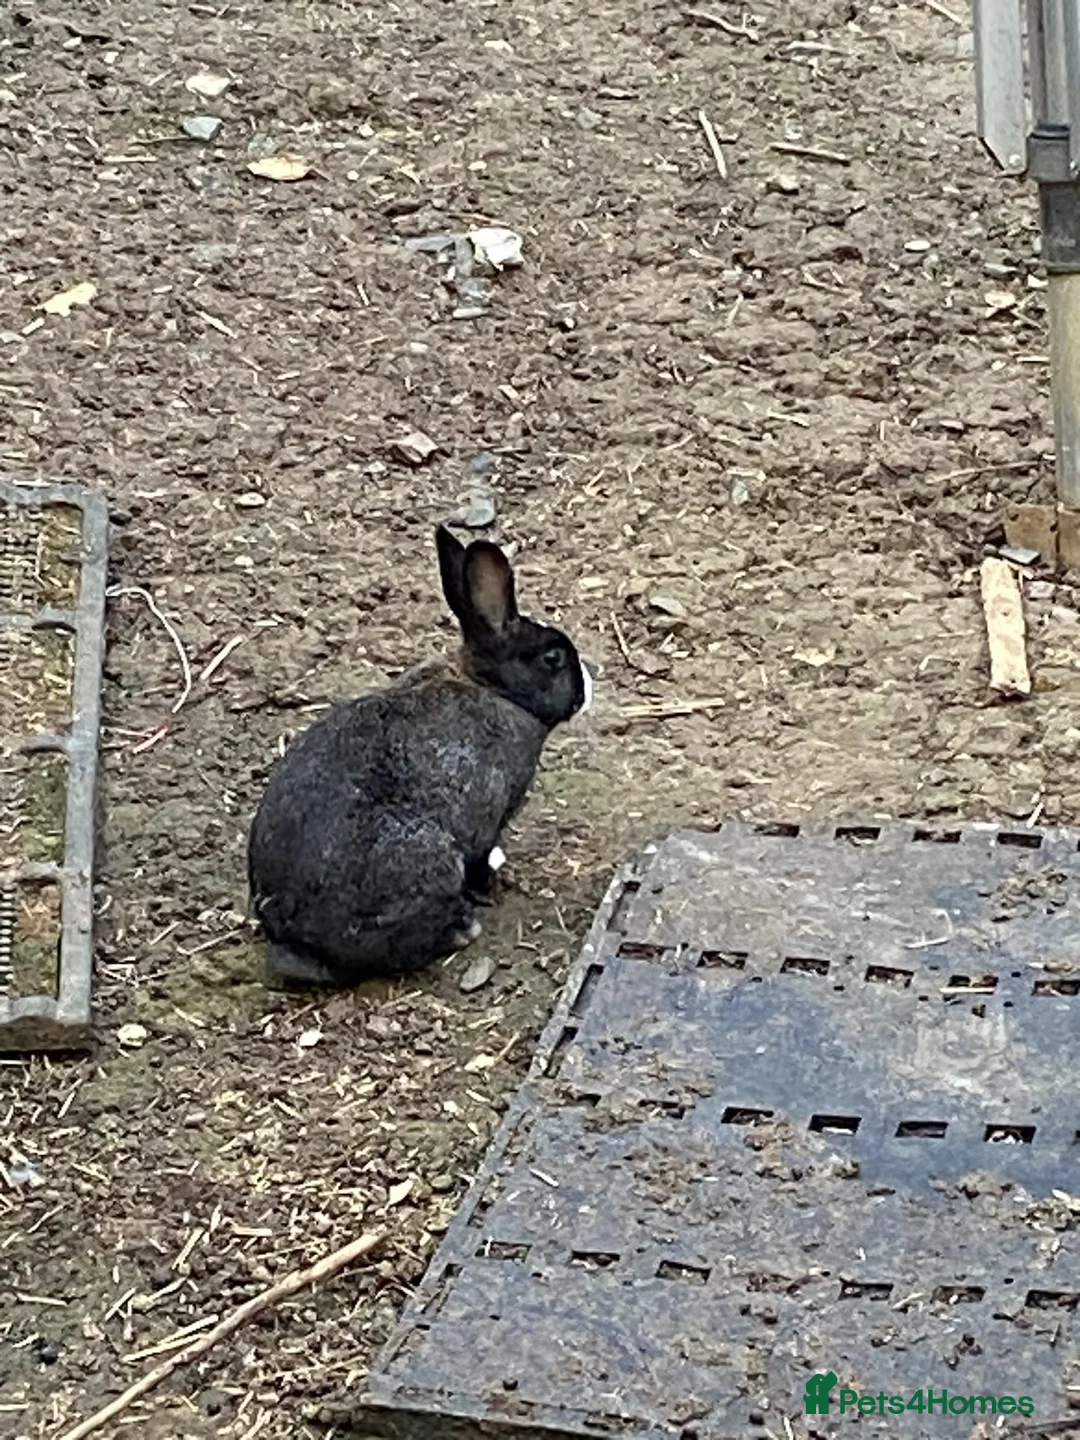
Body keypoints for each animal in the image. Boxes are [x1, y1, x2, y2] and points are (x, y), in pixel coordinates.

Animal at [247, 524, 592, 989]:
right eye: (552, 658)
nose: (586, 687)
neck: (495, 689)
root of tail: (293, 936)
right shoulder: (488, 819)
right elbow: (481, 856)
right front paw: (491, 888)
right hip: (421, 864)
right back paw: (460, 929)